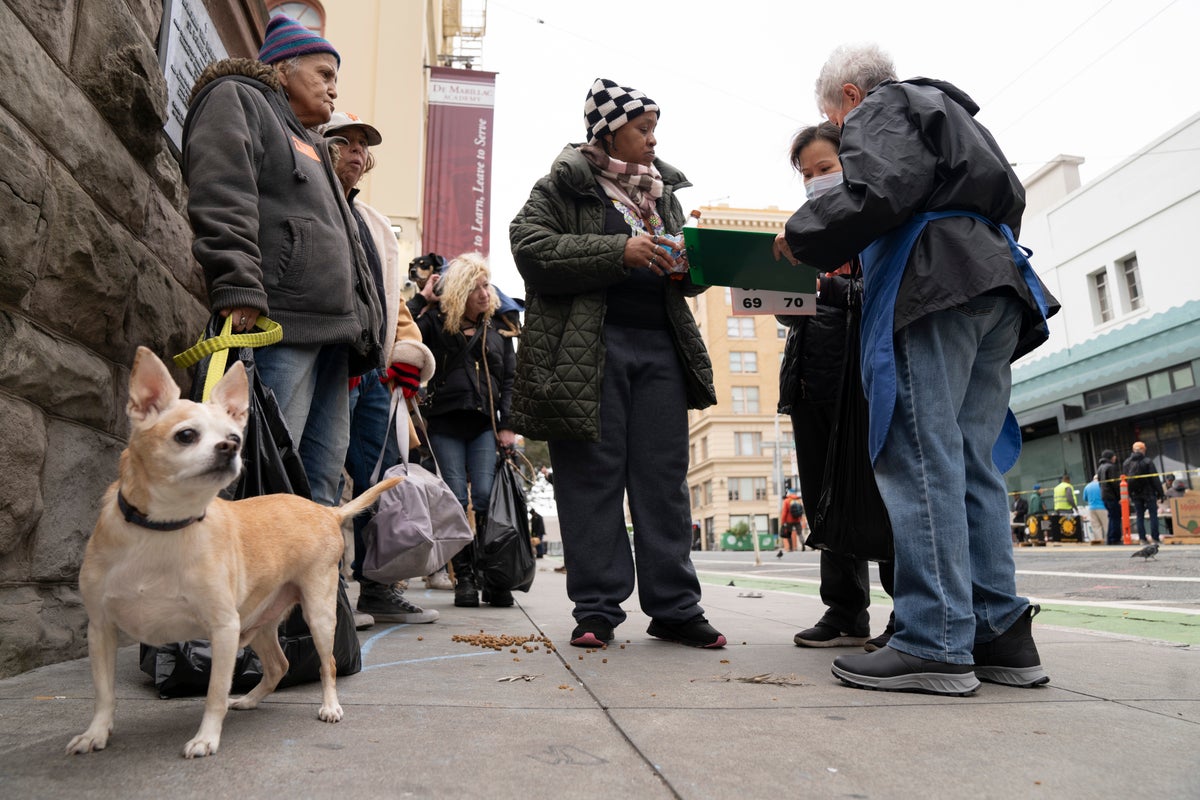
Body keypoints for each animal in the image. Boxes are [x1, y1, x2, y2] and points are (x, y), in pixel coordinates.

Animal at [69, 347, 398, 762]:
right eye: (186, 435)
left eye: (235, 438)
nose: (230, 449)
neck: (164, 528)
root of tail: (327, 511)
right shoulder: (101, 629)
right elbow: (104, 692)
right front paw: (95, 733)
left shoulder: (223, 629)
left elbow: (213, 692)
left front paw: (206, 738)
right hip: (259, 624)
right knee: (278, 665)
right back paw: (249, 700)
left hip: (317, 614)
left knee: (328, 664)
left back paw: (330, 706)